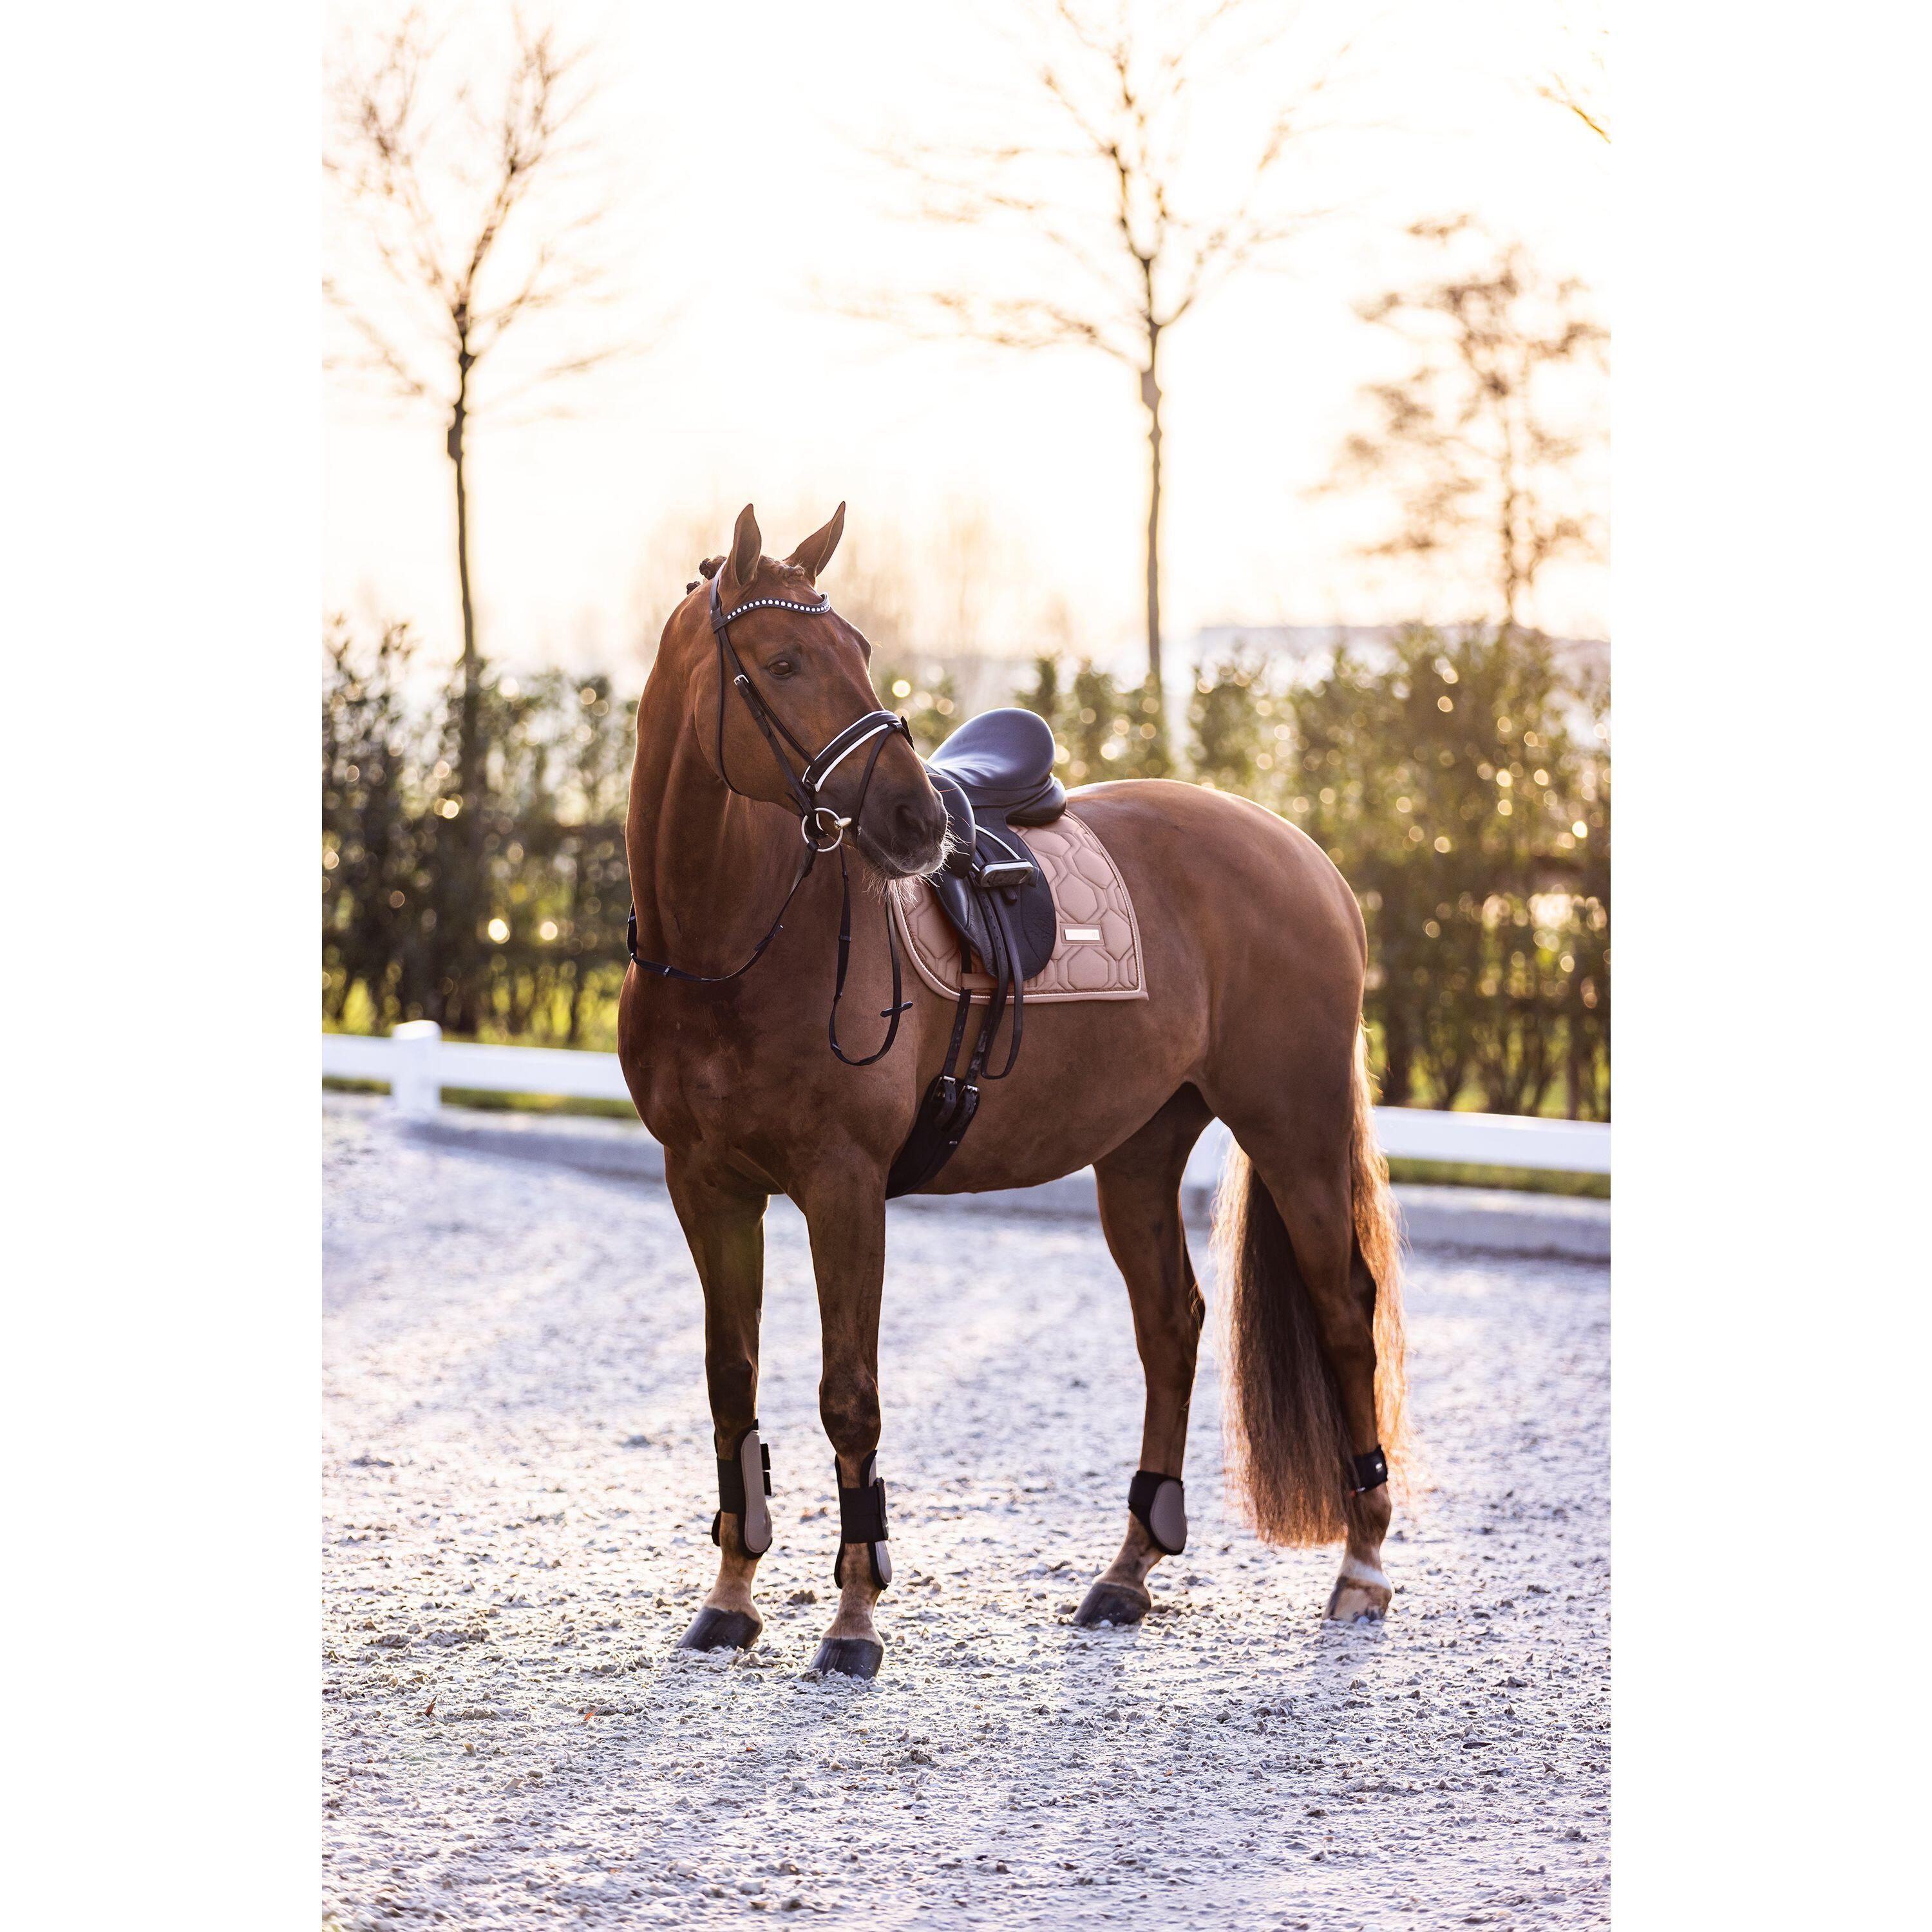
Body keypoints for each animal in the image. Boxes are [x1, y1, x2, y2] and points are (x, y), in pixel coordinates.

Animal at [617, 503, 1408, 1679]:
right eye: (785, 659)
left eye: (859, 647)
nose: (917, 822)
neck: (729, 945)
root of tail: (1301, 853)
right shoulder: (705, 1185)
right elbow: (732, 1384)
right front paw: (730, 1599)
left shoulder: (843, 1188)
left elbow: (849, 1398)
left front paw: (854, 1620)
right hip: (1140, 1147)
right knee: (1171, 1324)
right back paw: (1129, 1571)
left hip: (1294, 1126)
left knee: (1344, 1311)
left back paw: (1361, 1567)